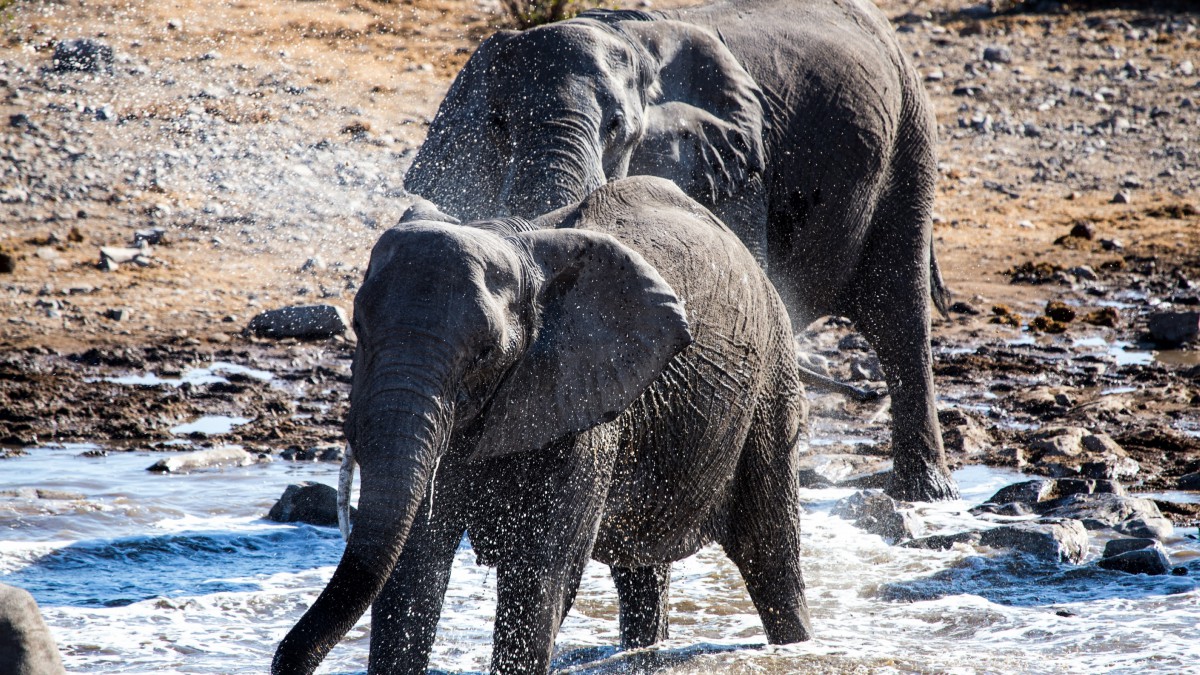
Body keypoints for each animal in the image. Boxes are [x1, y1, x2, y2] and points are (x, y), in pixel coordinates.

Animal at [273, 174, 811, 672]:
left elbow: (539, 575)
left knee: (770, 554)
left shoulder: (582, 400)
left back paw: (797, 647)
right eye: (359, 329)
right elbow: (415, 567)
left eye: (484, 353)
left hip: (772, 381)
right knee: (642, 569)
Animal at [408, 0, 960, 499]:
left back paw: (925, 494)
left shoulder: (736, 172)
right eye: (497, 122)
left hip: (912, 139)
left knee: (899, 314)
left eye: (618, 127)